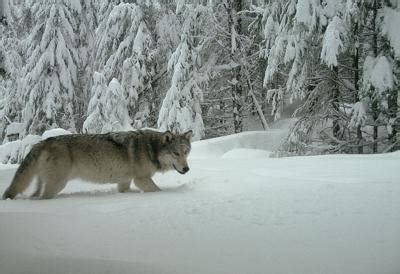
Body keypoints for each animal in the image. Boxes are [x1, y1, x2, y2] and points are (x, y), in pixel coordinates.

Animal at [1, 130, 192, 200]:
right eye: (176, 153)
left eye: (186, 152)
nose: (187, 169)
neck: (151, 148)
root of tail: (42, 142)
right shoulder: (141, 179)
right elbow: (158, 190)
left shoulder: (125, 181)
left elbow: (124, 191)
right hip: (57, 184)